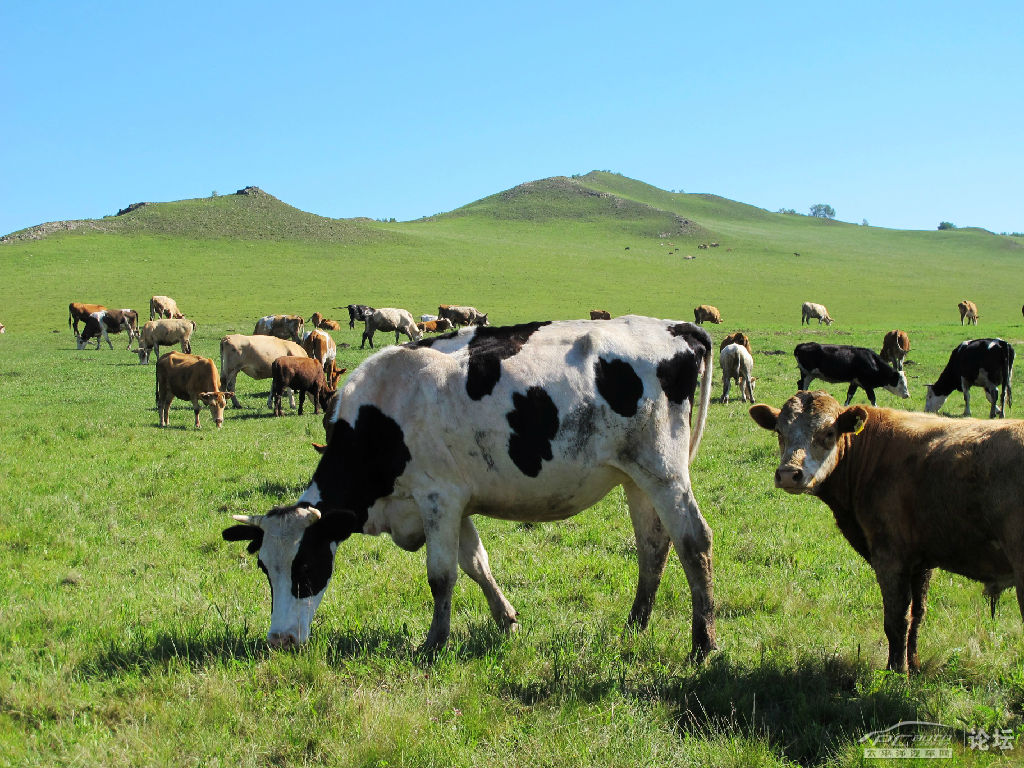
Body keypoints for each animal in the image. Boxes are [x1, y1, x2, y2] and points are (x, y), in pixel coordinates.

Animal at [224, 315, 720, 659]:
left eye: (307, 567)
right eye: (266, 570)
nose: (279, 641)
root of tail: (678, 328)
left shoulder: (438, 499)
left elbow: (441, 576)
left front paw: (434, 642)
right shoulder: (457, 503)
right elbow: (477, 564)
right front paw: (507, 621)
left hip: (665, 472)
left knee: (694, 541)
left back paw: (703, 642)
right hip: (637, 478)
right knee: (653, 546)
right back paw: (635, 625)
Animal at [749, 391, 1024, 671]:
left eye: (828, 432)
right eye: (779, 431)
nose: (788, 474)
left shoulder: (889, 555)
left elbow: (897, 619)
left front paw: (896, 670)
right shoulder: (921, 560)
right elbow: (917, 614)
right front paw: (913, 666)